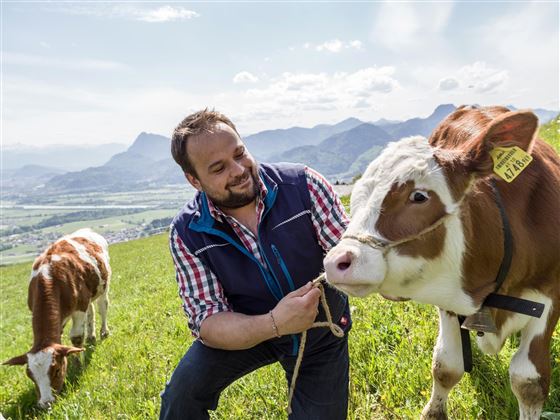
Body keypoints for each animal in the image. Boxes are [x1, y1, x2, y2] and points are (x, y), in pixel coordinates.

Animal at [3, 228, 111, 408]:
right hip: (89, 295)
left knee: (103, 307)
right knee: (91, 311)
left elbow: (76, 338)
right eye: (30, 376)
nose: (46, 403)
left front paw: (77, 365)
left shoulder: (79, 307)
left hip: (103, 286)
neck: (49, 276)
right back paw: (91, 336)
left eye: (57, 370)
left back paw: (104, 332)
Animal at [324, 106, 560, 418]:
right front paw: (434, 411)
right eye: (358, 193)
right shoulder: (449, 300)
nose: (336, 261)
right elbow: (446, 366)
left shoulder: (551, 293)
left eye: (419, 196)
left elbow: (528, 381)